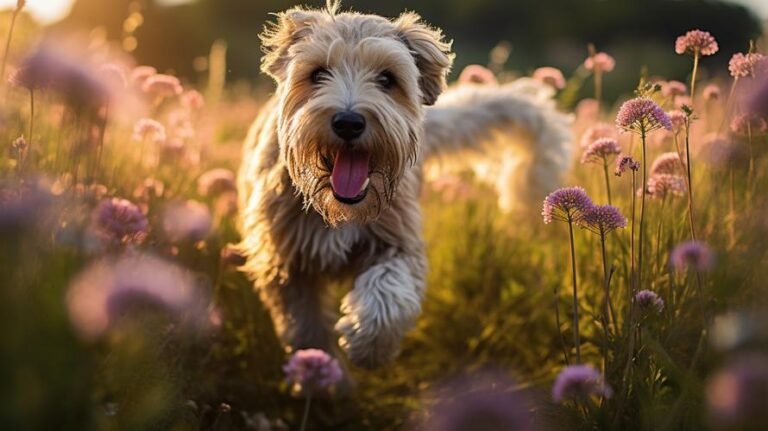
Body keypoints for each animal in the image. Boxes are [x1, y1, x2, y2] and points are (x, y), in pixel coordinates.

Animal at [238, 1, 568, 370]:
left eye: (387, 78)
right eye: (318, 74)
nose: (349, 122)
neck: (341, 210)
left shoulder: (399, 242)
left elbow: (389, 294)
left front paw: (368, 346)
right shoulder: (286, 264)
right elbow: (307, 328)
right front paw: (325, 373)